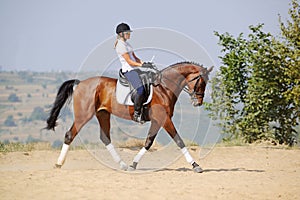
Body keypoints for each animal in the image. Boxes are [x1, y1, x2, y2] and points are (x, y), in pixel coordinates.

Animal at [45, 61, 212, 173]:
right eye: (201, 82)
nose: (198, 102)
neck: (163, 88)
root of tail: (80, 83)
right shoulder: (164, 120)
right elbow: (179, 141)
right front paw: (196, 165)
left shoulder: (157, 121)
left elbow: (148, 142)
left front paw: (133, 164)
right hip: (83, 115)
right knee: (70, 135)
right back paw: (59, 163)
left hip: (103, 114)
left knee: (105, 138)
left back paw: (122, 165)